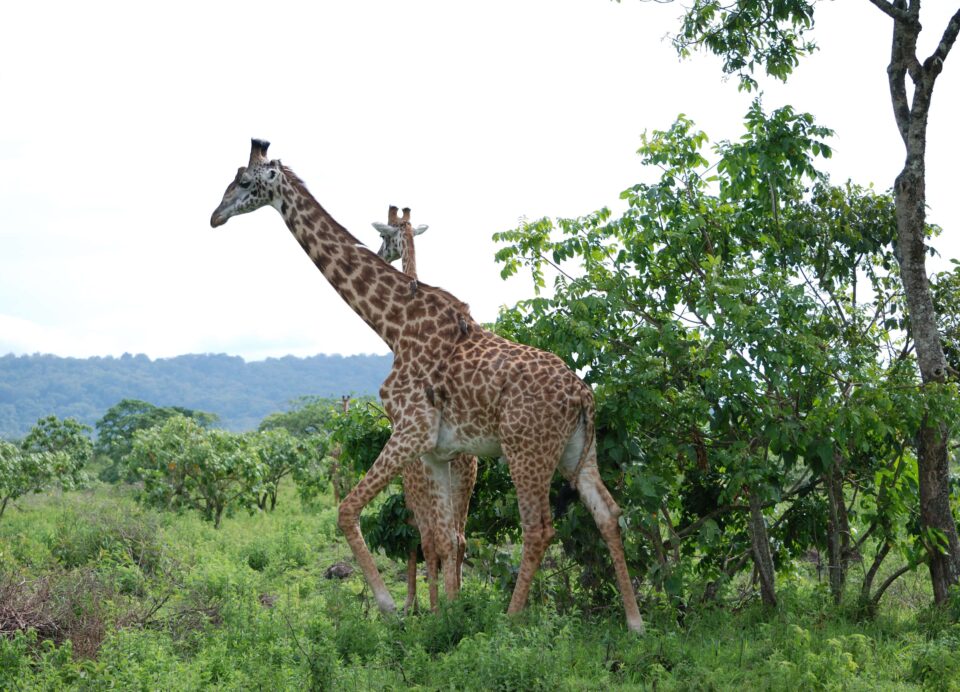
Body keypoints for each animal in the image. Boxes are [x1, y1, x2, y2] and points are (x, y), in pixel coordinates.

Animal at [376, 205, 480, 612]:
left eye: (385, 235)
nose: (380, 253)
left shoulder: (412, 490)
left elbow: (424, 543)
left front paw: (417, 604)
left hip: (428, 489)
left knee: (433, 540)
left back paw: (433, 606)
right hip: (465, 483)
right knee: (459, 538)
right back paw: (457, 602)